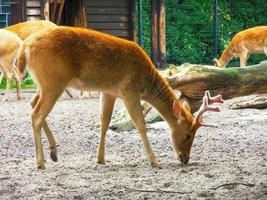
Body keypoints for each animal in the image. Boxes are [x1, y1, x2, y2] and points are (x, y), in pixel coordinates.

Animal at [17, 26, 224, 170]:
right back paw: (41, 162)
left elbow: (104, 122)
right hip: (53, 81)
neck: (145, 82)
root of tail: (24, 48)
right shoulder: (129, 91)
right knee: (37, 115)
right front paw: (154, 161)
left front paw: (101, 159)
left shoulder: (109, 92)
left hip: (45, 83)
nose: (185, 159)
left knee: (32, 103)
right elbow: (140, 124)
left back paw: (54, 152)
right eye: (189, 134)